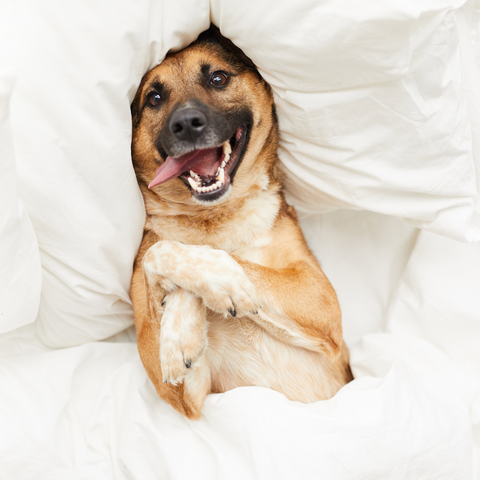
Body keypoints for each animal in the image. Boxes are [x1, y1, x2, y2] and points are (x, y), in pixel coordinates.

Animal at [129, 25, 350, 420]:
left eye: (217, 78)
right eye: (154, 98)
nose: (186, 124)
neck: (214, 219)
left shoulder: (321, 301)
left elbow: (221, 261)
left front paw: (221, 284)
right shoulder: (183, 394)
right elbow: (159, 250)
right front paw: (181, 333)